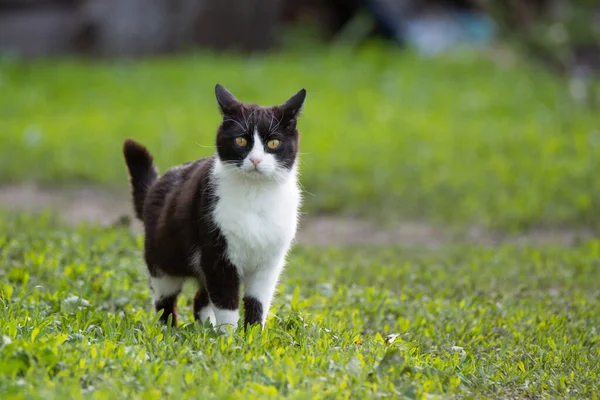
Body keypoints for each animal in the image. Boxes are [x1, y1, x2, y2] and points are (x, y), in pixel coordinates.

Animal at [123, 84, 308, 332]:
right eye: (241, 141)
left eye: (273, 143)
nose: (256, 160)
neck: (255, 193)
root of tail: (155, 186)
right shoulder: (218, 254)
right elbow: (226, 302)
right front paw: (228, 337)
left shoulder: (269, 263)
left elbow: (257, 302)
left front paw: (253, 335)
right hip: (163, 257)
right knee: (165, 299)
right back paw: (167, 329)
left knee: (200, 297)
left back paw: (205, 327)